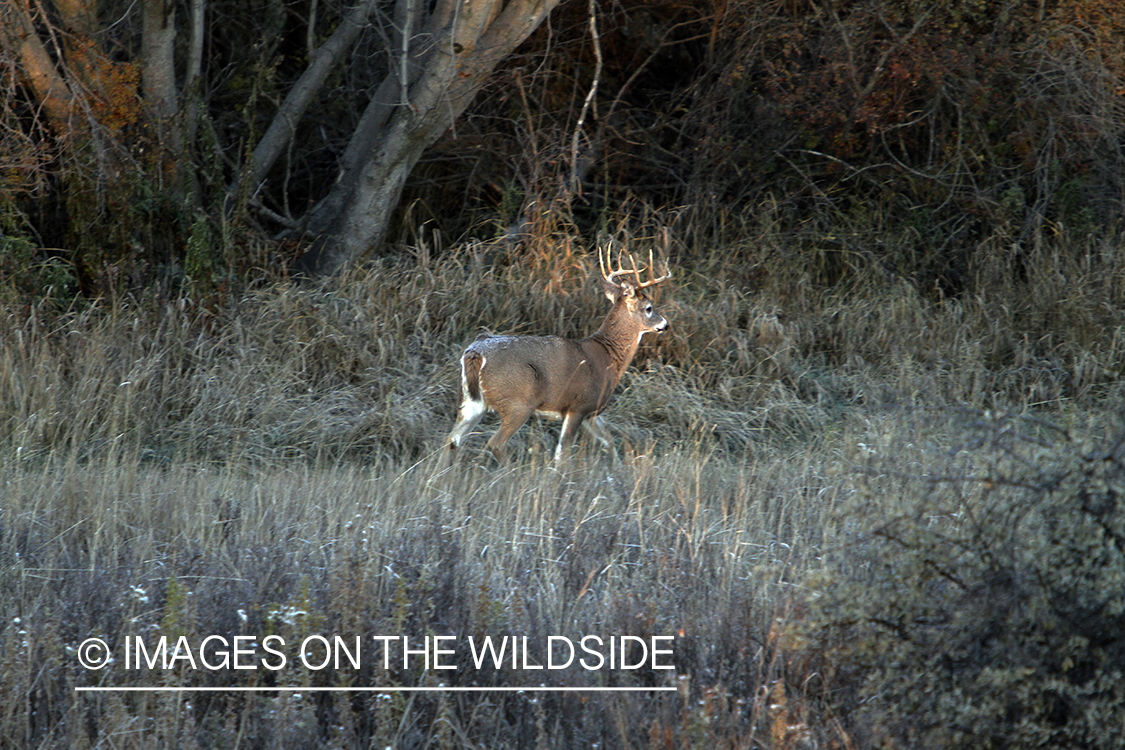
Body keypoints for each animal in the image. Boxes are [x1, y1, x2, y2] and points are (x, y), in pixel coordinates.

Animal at [436, 249, 666, 465]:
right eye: (649, 308)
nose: (665, 324)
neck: (608, 356)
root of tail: (475, 353)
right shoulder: (578, 405)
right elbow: (562, 454)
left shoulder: (592, 411)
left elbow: (608, 441)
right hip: (518, 403)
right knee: (494, 443)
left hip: (471, 402)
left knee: (451, 440)